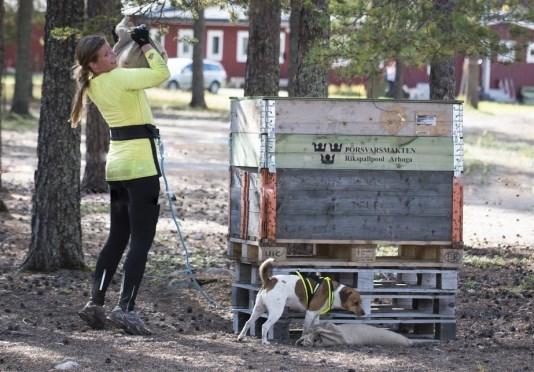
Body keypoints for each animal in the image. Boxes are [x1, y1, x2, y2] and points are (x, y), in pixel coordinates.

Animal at [238, 258, 366, 344]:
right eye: (355, 302)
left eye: (361, 302)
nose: (364, 313)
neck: (334, 292)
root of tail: (269, 281)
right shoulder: (310, 313)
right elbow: (306, 328)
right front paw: (303, 339)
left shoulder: (316, 314)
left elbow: (315, 327)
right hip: (276, 312)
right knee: (264, 326)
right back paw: (264, 341)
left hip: (258, 309)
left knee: (248, 322)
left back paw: (241, 337)